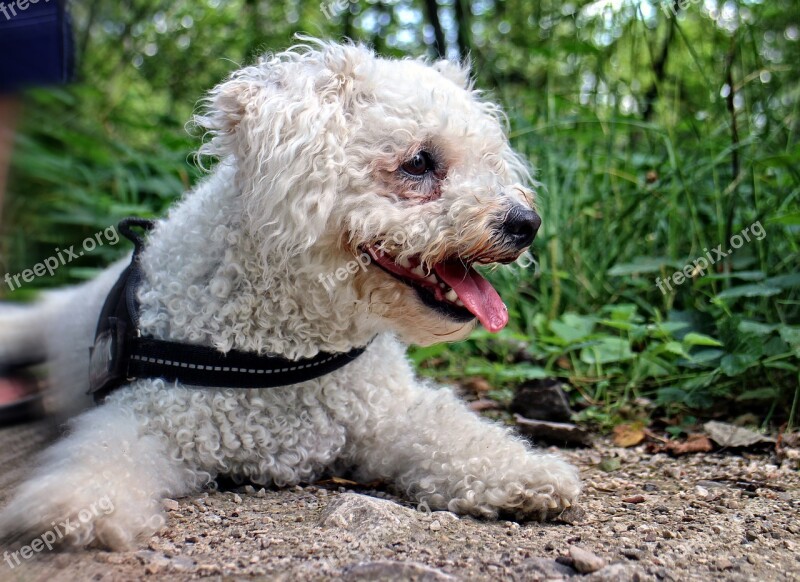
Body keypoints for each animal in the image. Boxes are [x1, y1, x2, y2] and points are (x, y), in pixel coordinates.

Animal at [0, 41, 580, 552]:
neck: (287, 350)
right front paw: (69, 506)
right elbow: (100, 455)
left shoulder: (390, 414)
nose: (526, 224)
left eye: (490, 160)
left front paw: (528, 473)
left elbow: (454, 433)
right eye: (418, 162)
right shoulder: (149, 414)